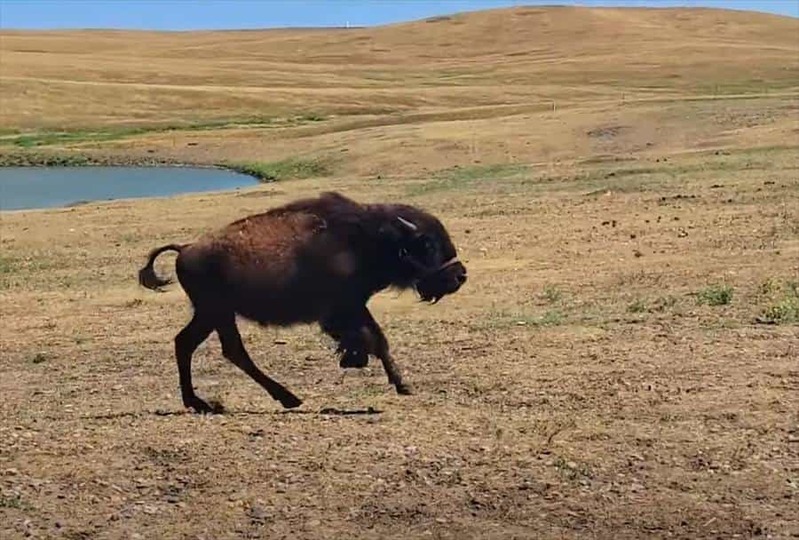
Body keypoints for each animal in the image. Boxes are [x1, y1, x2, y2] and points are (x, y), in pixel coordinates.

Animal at [135, 192, 466, 416]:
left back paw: (203, 402)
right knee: (228, 350)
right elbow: (375, 338)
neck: (367, 236)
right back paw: (286, 398)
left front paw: (366, 366)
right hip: (215, 312)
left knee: (190, 344)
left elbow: (371, 337)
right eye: (427, 244)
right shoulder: (345, 306)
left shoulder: (351, 307)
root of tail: (185, 248)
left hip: (211, 314)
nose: (460, 275)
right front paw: (399, 383)